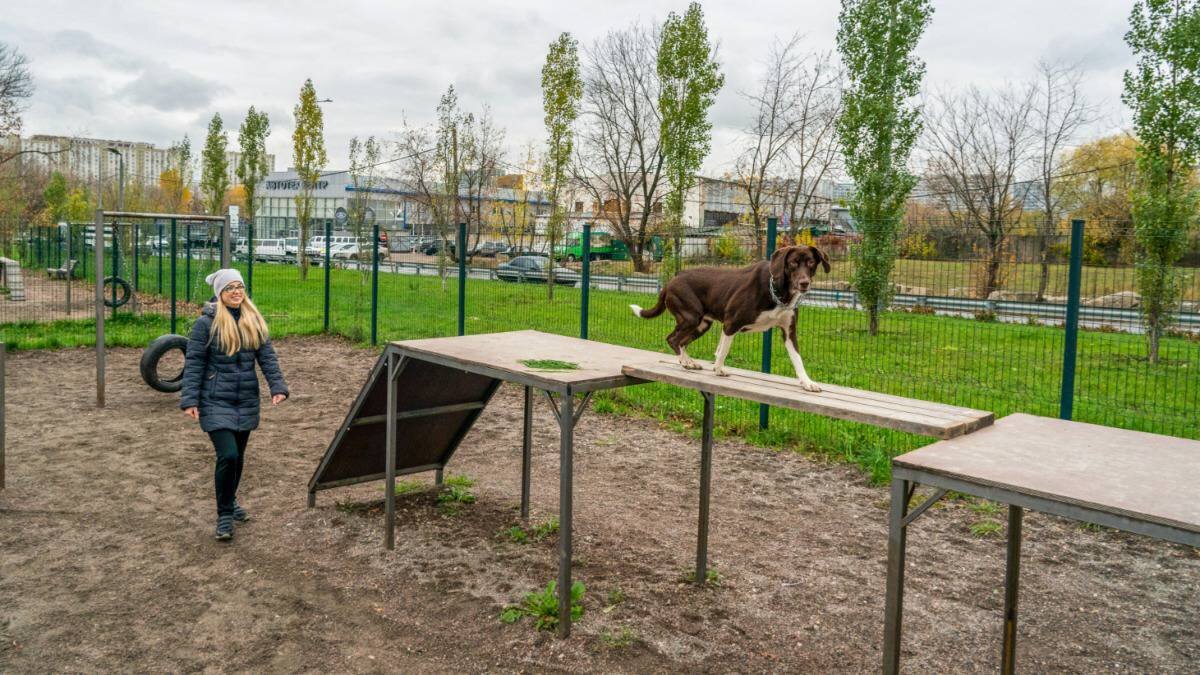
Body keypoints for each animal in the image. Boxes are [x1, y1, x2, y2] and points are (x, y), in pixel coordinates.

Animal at [633, 242, 830, 389]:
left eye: (811, 263)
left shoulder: (789, 332)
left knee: (681, 341)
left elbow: (797, 359)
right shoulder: (730, 324)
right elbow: (723, 351)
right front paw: (719, 369)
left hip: (702, 324)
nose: (804, 283)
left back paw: (689, 361)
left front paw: (807, 382)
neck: (778, 293)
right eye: (793, 263)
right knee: (673, 339)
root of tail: (671, 281)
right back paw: (685, 362)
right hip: (691, 317)